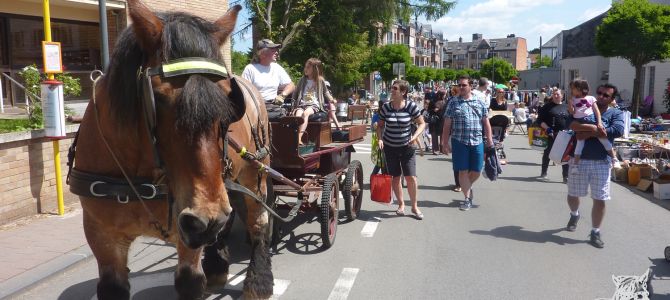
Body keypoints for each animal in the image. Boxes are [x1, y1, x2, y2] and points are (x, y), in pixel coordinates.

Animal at [71, 1, 272, 298]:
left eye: (228, 100)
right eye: (159, 97)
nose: (206, 218)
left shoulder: (188, 232)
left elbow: (189, 281)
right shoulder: (101, 235)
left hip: (254, 175)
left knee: (258, 221)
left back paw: (258, 281)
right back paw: (217, 266)